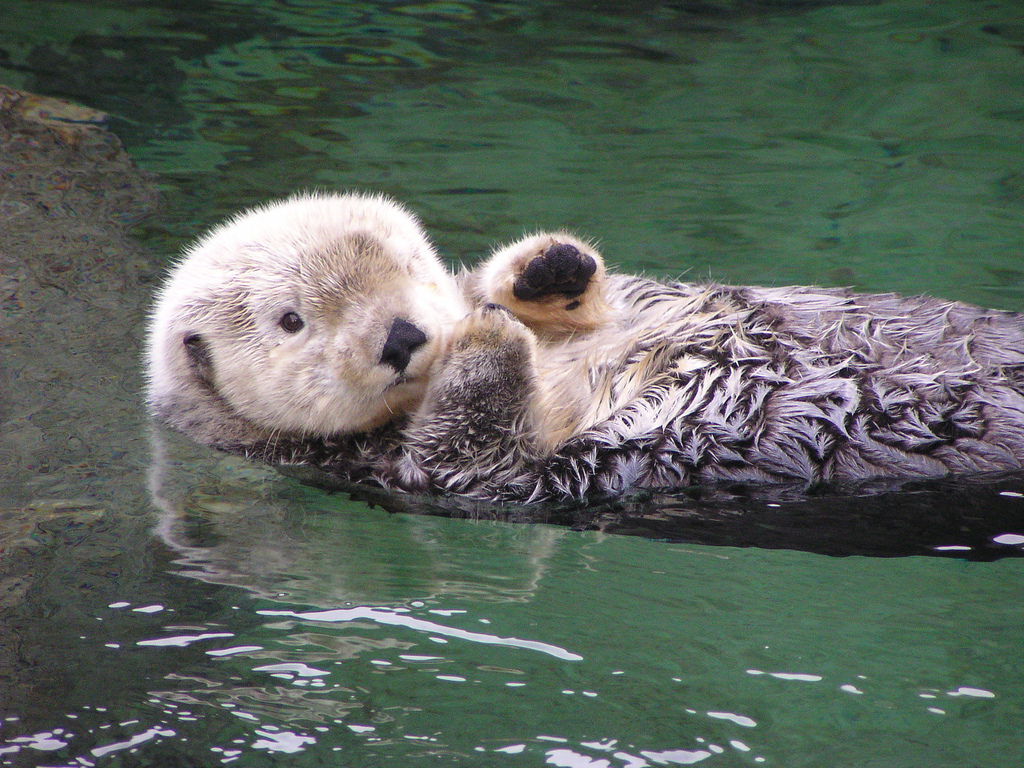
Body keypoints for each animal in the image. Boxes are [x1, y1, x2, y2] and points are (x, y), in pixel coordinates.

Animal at [148, 192, 1024, 505]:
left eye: (406, 263)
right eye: (292, 321)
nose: (405, 335)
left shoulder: (630, 305)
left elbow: (591, 294)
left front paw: (542, 271)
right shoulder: (418, 471)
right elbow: (468, 453)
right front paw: (488, 336)